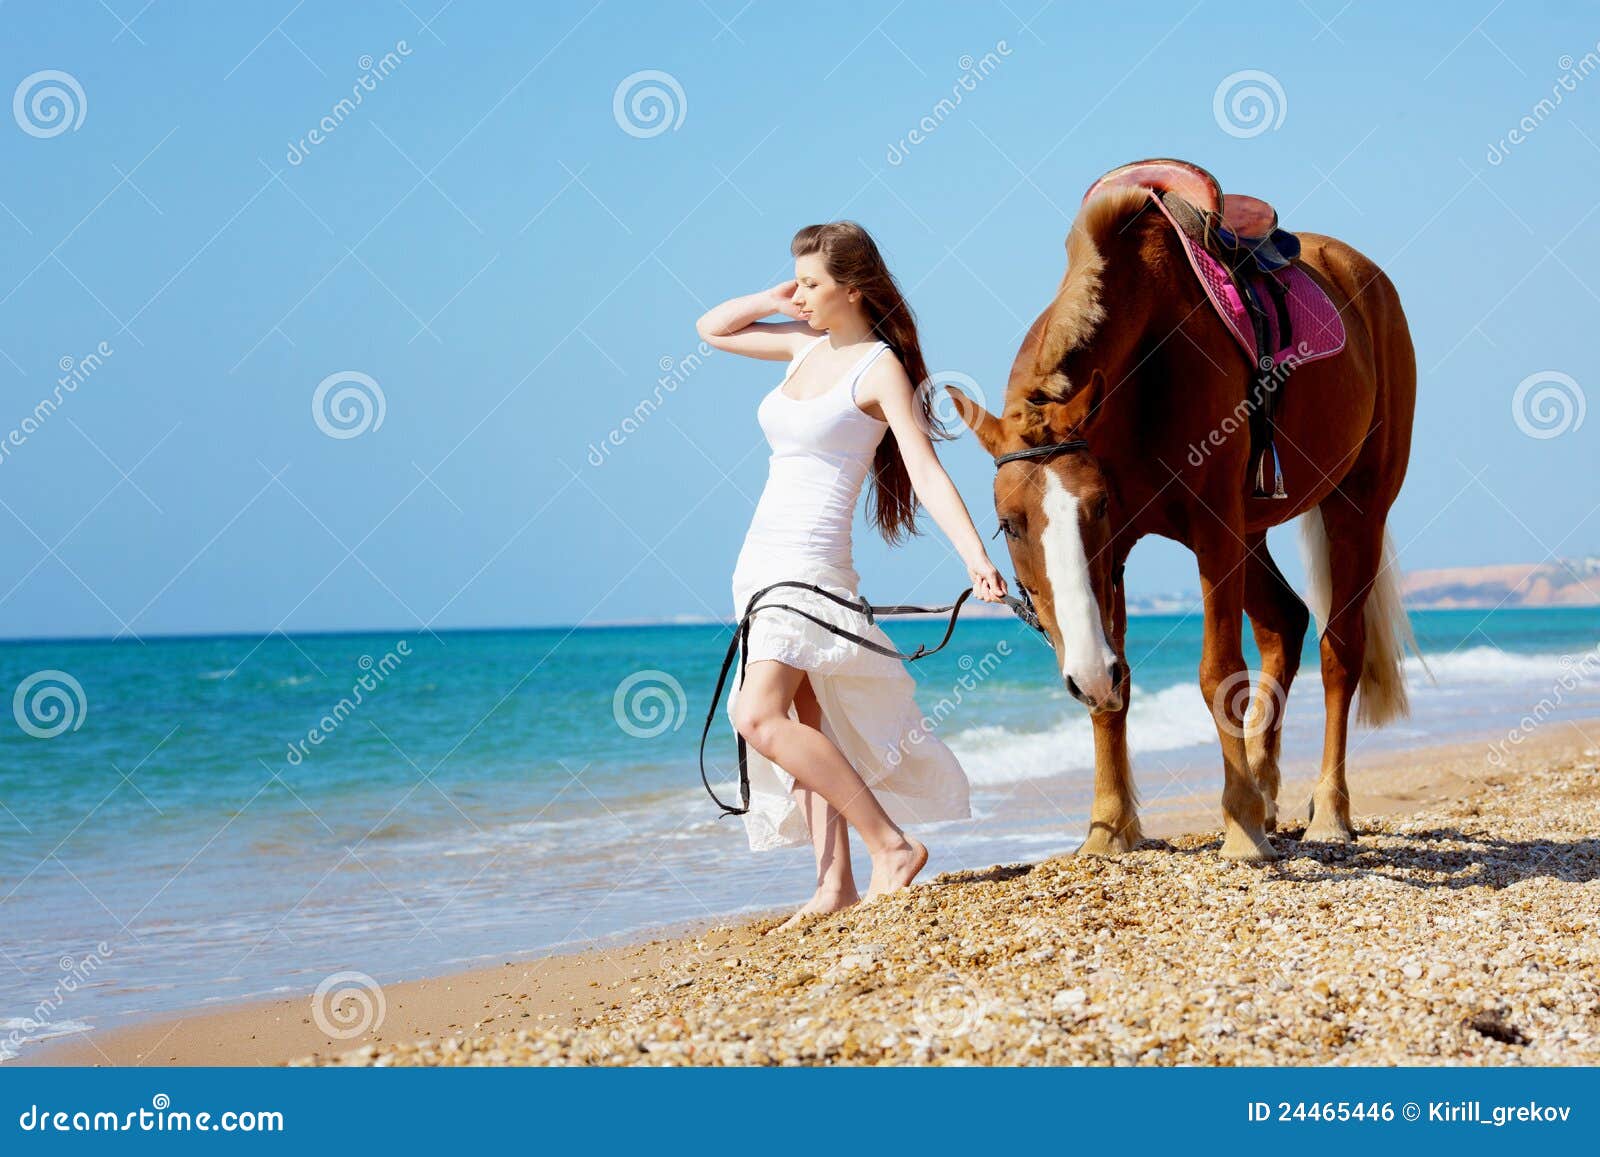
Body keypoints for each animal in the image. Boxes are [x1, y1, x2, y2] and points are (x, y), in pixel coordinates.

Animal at [948, 167, 1418, 862]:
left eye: (1096, 504)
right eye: (1009, 524)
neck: (1148, 367)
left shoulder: (1210, 528)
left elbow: (1218, 673)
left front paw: (1241, 828)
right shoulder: (1118, 555)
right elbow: (1113, 689)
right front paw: (1109, 828)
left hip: (1355, 509)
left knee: (1340, 652)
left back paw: (1327, 810)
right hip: (1255, 534)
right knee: (1285, 625)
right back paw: (1268, 793)